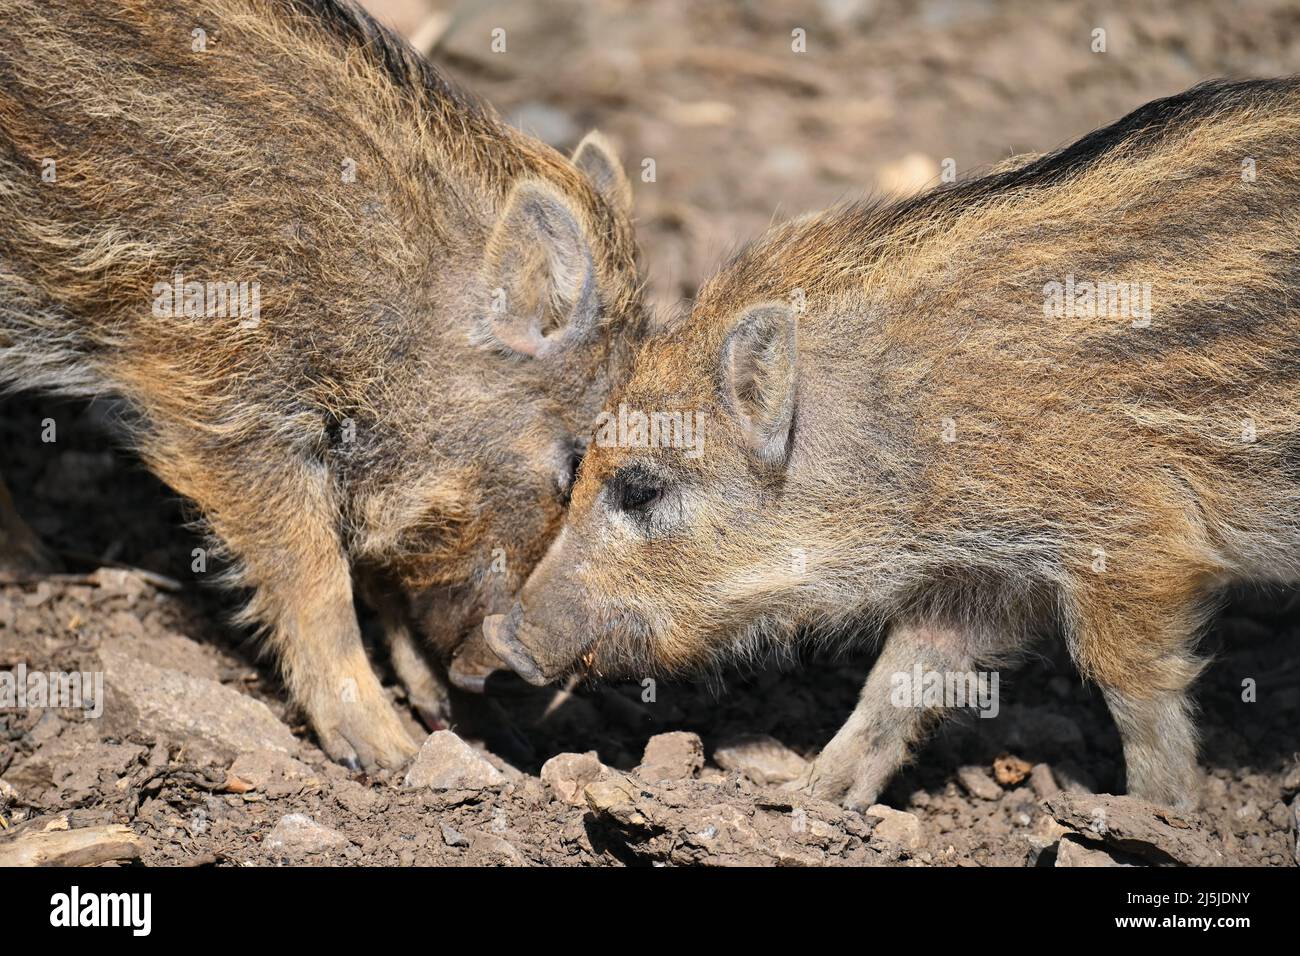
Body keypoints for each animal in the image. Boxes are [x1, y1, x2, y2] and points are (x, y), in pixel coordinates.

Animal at [483, 78, 1300, 810]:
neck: (899, 430)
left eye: (642, 488)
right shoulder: (984, 572)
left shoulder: (1138, 539)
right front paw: (811, 799)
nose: (506, 638)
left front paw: (1162, 813)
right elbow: (905, 672)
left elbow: (1132, 681)